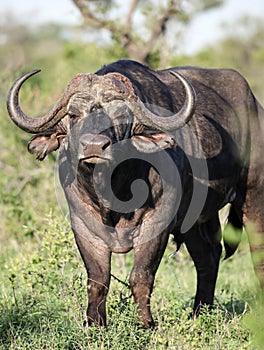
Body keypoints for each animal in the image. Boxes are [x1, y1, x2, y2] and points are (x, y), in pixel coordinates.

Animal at [6, 58, 264, 326]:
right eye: (74, 115)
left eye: (120, 116)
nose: (94, 146)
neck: (112, 191)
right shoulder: (83, 226)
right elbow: (97, 279)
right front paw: (94, 324)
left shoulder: (156, 225)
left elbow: (140, 276)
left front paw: (146, 325)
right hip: (196, 220)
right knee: (209, 257)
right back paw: (199, 314)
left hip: (254, 198)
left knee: (257, 256)